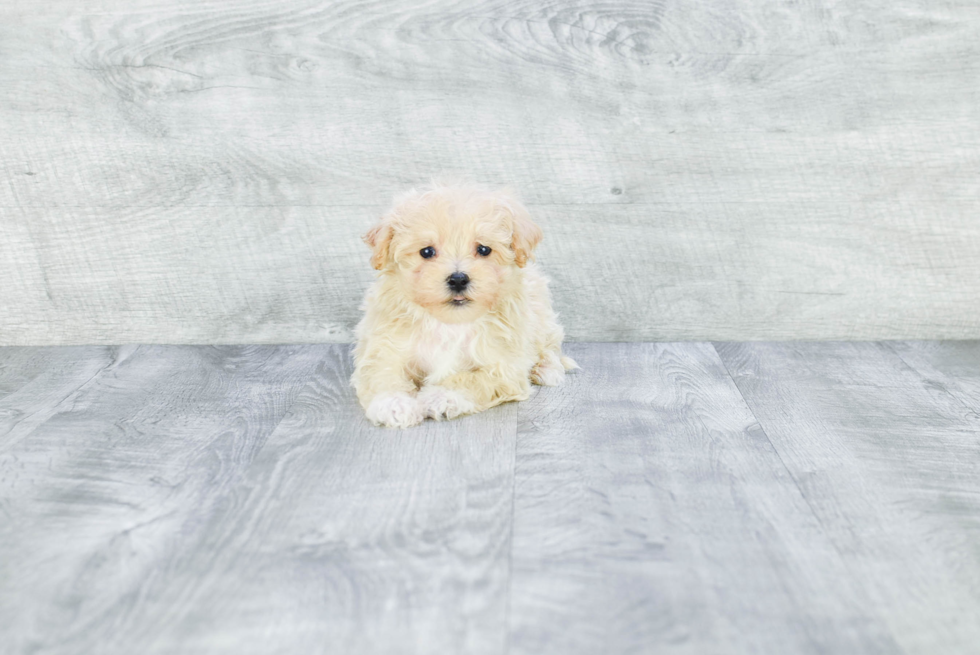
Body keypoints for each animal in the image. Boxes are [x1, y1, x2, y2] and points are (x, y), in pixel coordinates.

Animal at [352, 183, 580, 430]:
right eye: (426, 252)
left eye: (484, 249)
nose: (458, 279)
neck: (450, 323)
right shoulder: (384, 346)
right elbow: (383, 374)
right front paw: (393, 403)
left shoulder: (505, 367)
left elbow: (470, 379)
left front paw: (441, 397)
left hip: (542, 315)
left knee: (550, 347)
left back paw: (547, 369)